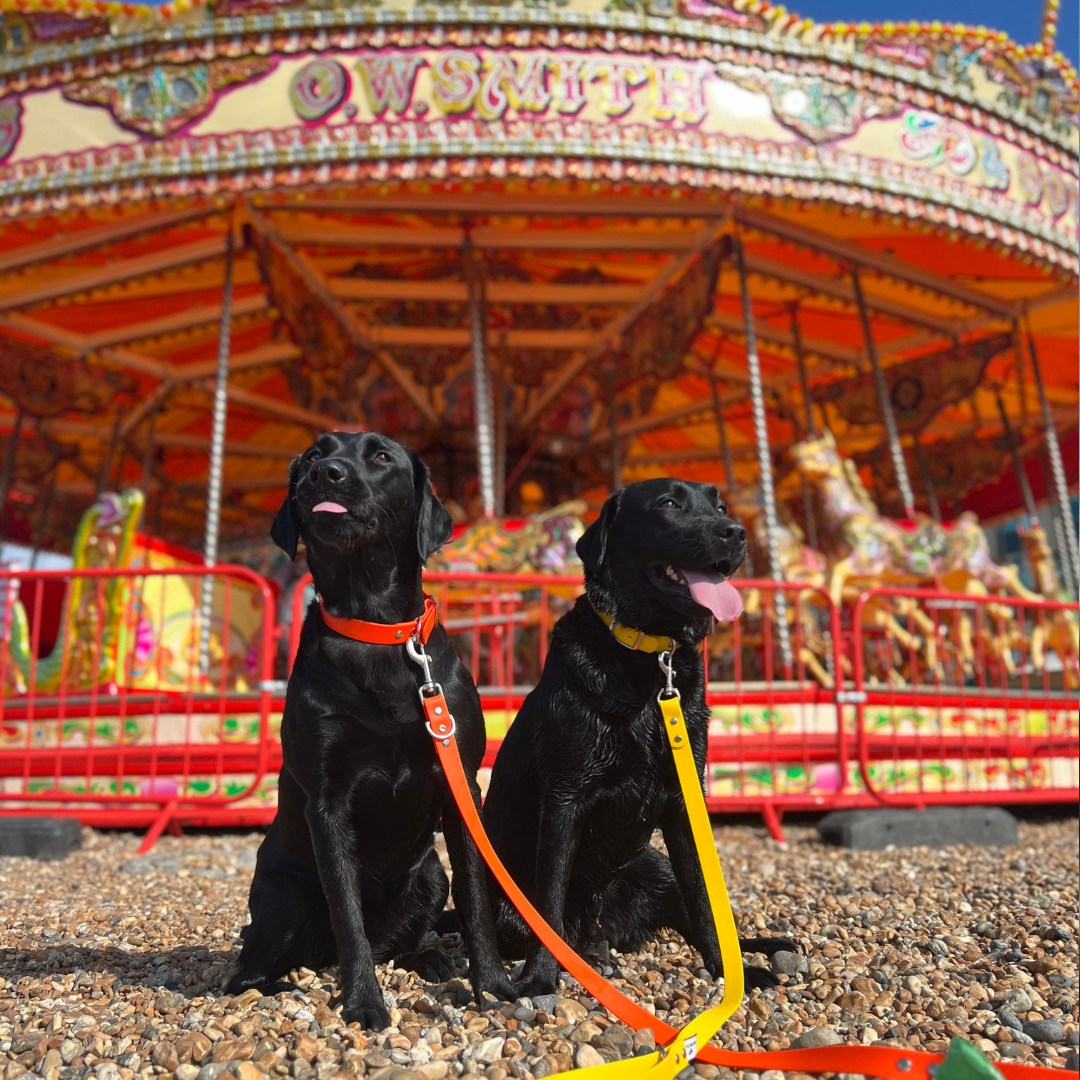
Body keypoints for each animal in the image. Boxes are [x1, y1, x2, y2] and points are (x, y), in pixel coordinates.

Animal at [227, 432, 514, 1028]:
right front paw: (362, 1002)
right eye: (313, 456)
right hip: (284, 899)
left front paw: (494, 988)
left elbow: (476, 901)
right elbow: (347, 915)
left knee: (396, 943)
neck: (376, 628)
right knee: (247, 970)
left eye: (381, 456)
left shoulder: (460, 784)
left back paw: (429, 959)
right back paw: (279, 986)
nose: (326, 474)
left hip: (429, 876)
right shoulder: (327, 801)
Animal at [481, 479, 794, 993]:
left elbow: (705, 902)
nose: (736, 532)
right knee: (559, 925)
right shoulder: (565, 799)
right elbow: (548, 903)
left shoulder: (686, 802)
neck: (650, 659)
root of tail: (601, 924)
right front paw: (540, 979)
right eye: (668, 504)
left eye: (721, 506)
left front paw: (731, 973)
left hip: (654, 864)